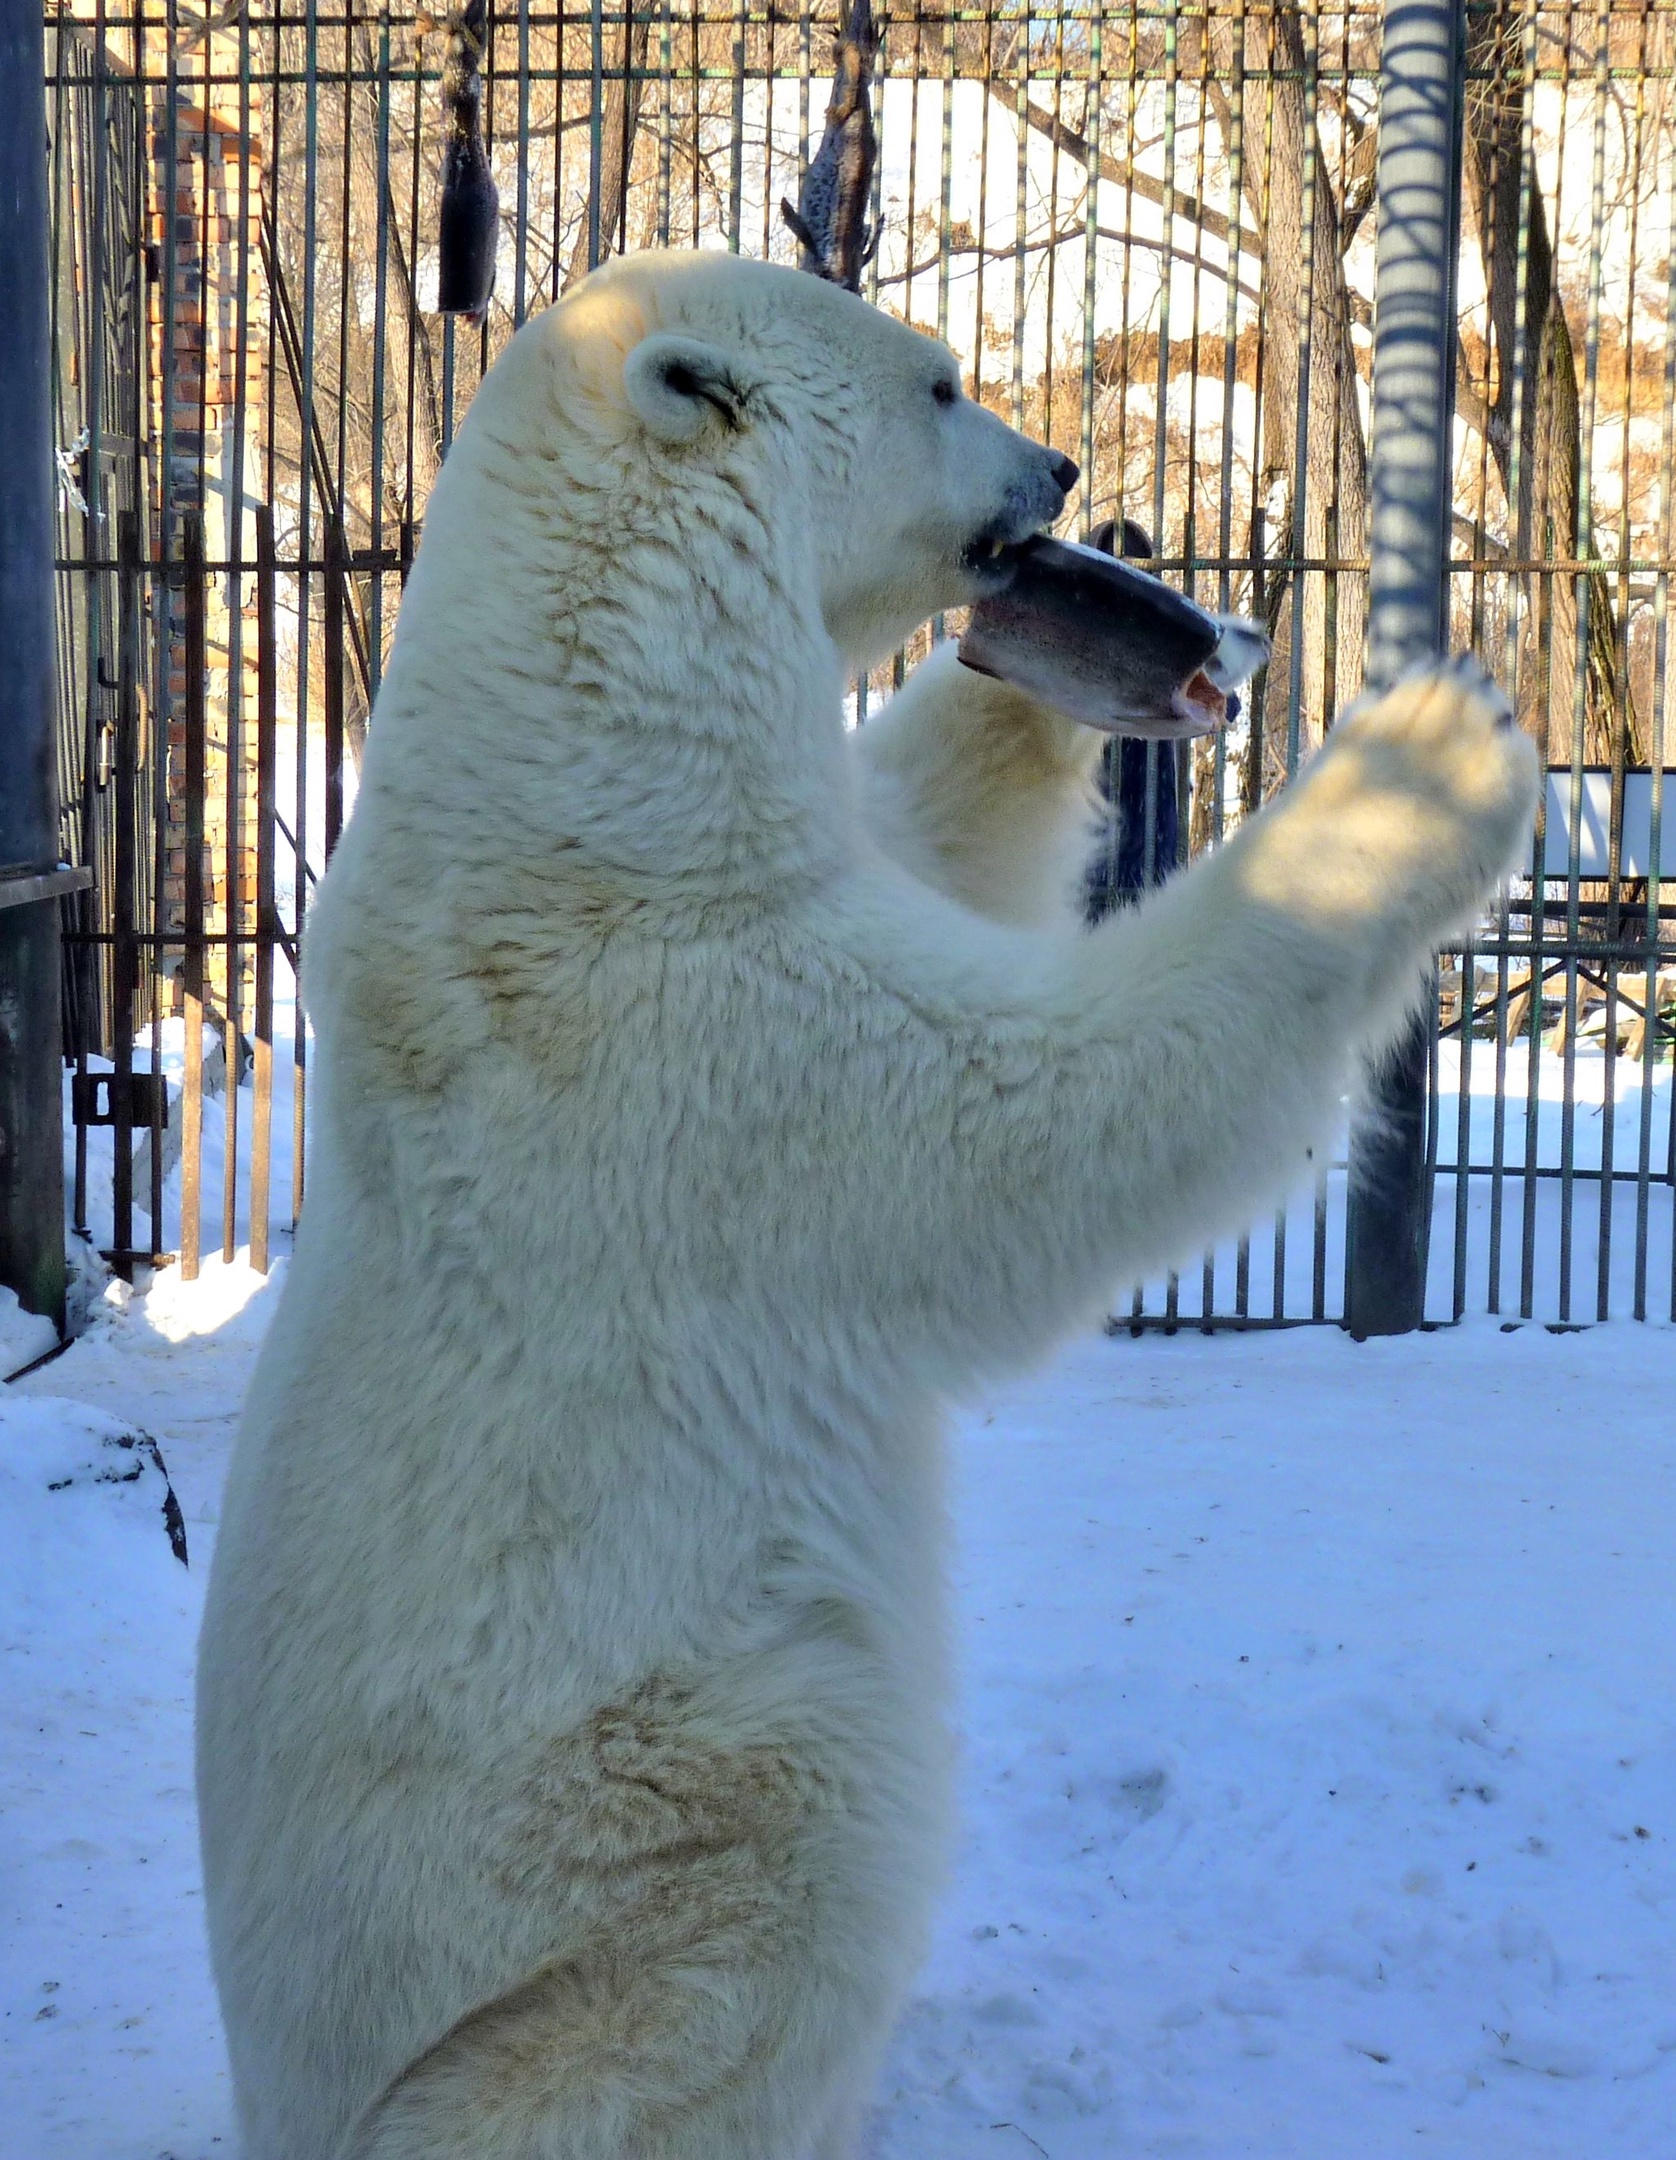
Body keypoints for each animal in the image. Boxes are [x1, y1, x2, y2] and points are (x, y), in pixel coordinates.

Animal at [193, 252, 1529, 2160]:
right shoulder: (681, 1043)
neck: (584, 760)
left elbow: (925, 833)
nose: (1060, 468)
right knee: (788, 1864)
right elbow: (1018, 1122)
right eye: (944, 381)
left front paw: (1086, 649)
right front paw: (1423, 756)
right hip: (608, 1837)